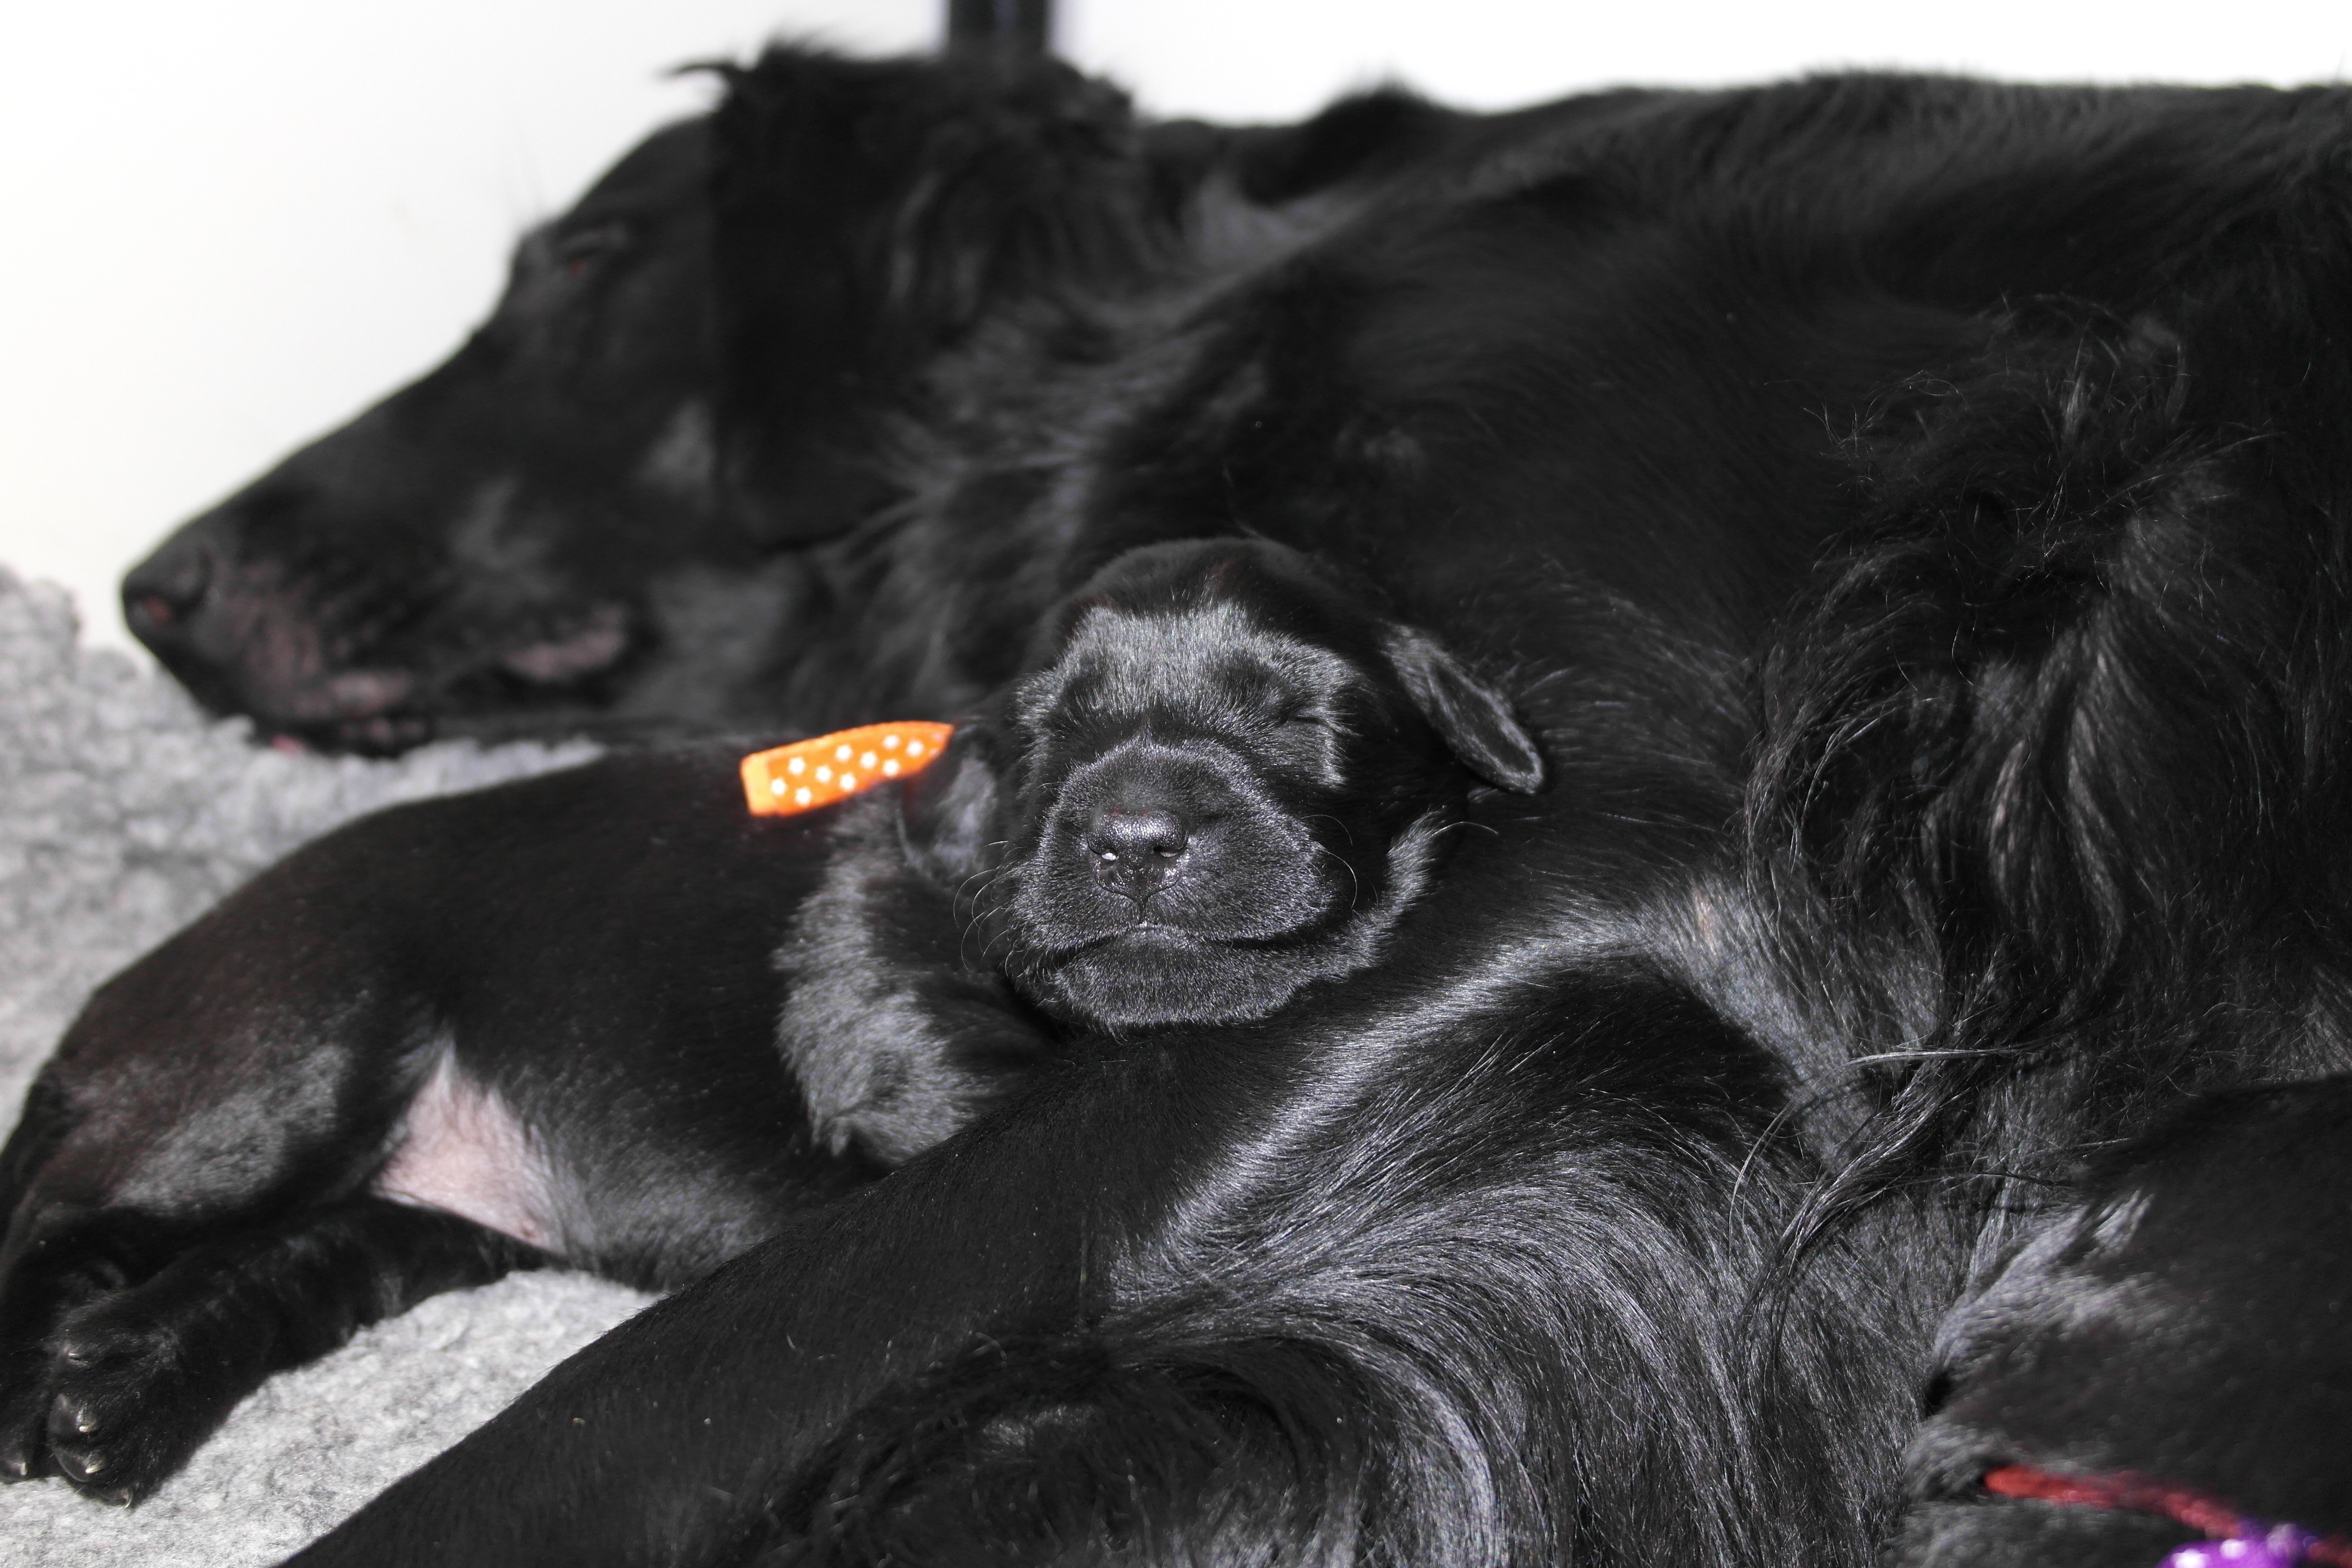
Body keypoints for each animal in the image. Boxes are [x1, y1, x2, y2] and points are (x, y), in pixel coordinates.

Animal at [0, 539, 1541, 1502]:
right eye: (1049, 729)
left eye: (1301, 718)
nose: (1134, 832)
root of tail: (102, 1013)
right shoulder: (880, 1006)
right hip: (292, 1051)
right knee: (65, 1221)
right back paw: (37, 1387)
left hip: (416, 1211)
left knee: (273, 1264)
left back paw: (114, 1393)